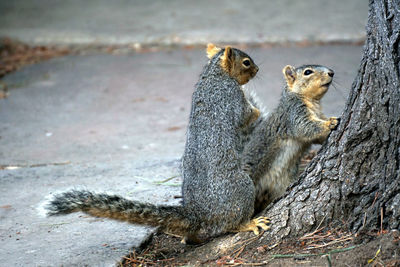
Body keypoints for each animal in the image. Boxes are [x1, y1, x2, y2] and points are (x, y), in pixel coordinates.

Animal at [46, 43, 268, 245]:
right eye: (246, 62)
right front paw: (256, 109)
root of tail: (198, 214)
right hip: (241, 188)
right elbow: (246, 115)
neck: (215, 73)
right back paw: (249, 223)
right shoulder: (232, 97)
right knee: (230, 224)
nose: (258, 69)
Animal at [242, 64, 340, 214]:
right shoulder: (294, 113)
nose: (331, 73)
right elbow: (306, 127)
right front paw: (330, 123)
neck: (312, 102)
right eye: (307, 72)